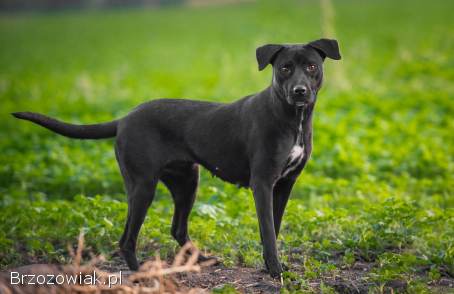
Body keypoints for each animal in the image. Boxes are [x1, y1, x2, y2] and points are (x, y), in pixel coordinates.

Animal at [12, 38, 340, 278]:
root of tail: (123, 119)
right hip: (143, 186)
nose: (300, 91)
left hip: (186, 182)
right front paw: (275, 270)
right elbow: (269, 232)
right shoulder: (262, 183)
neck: (292, 119)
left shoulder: (284, 184)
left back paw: (202, 259)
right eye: (284, 68)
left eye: (311, 66)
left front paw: (270, 265)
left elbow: (273, 227)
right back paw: (143, 273)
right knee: (126, 239)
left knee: (177, 228)